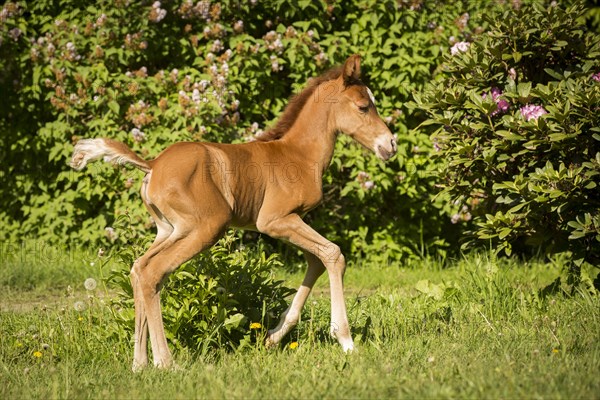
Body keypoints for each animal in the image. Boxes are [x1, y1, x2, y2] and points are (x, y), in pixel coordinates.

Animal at [70, 54, 396, 370]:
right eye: (363, 107)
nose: (391, 144)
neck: (298, 154)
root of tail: (152, 166)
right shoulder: (275, 221)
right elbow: (333, 254)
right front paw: (346, 340)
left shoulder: (291, 221)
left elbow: (316, 261)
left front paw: (272, 337)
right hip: (207, 228)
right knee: (153, 272)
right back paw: (165, 363)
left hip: (170, 231)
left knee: (139, 268)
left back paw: (139, 364)